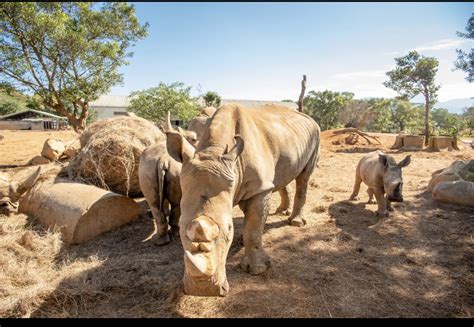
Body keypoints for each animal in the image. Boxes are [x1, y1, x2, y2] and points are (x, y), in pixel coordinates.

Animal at [165, 104, 320, 298]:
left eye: (228, 229)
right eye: (180, 228)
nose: (202, 290)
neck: (213, 151)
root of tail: (309, 117)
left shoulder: (259, 189)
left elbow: (253, 228)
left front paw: (257, 269)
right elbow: (249, 222)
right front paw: (240, 240)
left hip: (315, 134)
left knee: (304, 176)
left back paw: (296, 222)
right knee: (280, 177)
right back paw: (280, 211)